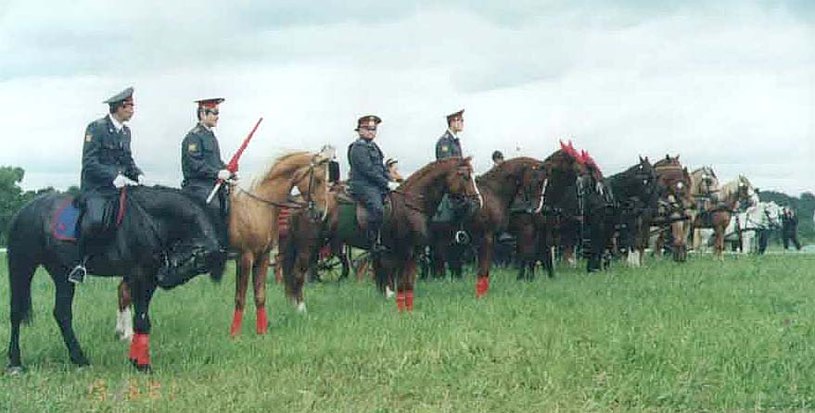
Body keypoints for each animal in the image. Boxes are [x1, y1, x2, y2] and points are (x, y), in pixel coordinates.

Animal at [7, 185, 228, 372]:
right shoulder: (139, 275)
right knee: (17, 312)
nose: (165, 279)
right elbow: (141, 319)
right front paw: (143, 365)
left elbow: (142, 319)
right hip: (23, 266)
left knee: (62, 314)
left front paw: (137, 361)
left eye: (199, 267)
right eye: (194, 259)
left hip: (62, 274)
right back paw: (15, 363)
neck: (150, 219)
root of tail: (25, 210)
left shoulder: (148, 279)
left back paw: (80, 360)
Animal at [115, 147, 334, 338]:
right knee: (126, 290)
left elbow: (260, 295)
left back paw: (122, 332)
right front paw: (234, 333)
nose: (321, 213)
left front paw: (262, 331)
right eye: (318, 180)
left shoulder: (263, 257)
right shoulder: (244, 257)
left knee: (123, 289)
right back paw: (127, 334)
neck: (256, 204)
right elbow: (240, 297)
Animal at [284, 156, 482, 310]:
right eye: (465, 176)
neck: (410, 204)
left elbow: (405, 282)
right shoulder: (406, 252)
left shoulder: (410, 253)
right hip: (308, 247)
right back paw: (301, 309)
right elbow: (402, 282)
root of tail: (301, 203)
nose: (477, 202)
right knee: (298, 274)